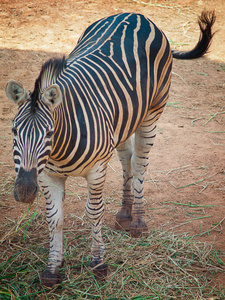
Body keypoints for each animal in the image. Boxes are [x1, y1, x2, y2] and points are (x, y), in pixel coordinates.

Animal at [6, 11, 215, 286]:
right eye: (14, 131)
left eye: (49, 133)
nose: (25, 191)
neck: (59, 148)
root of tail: (136, 14)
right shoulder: (47, 175)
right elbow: (55, 218)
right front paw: (52, 268)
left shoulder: (95, 169)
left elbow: (94, 212)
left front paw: (98, 263)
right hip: (122, 121)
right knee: (126, 160)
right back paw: (125, 213)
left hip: (152, 113)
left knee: (139, 165)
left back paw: (138, 221)